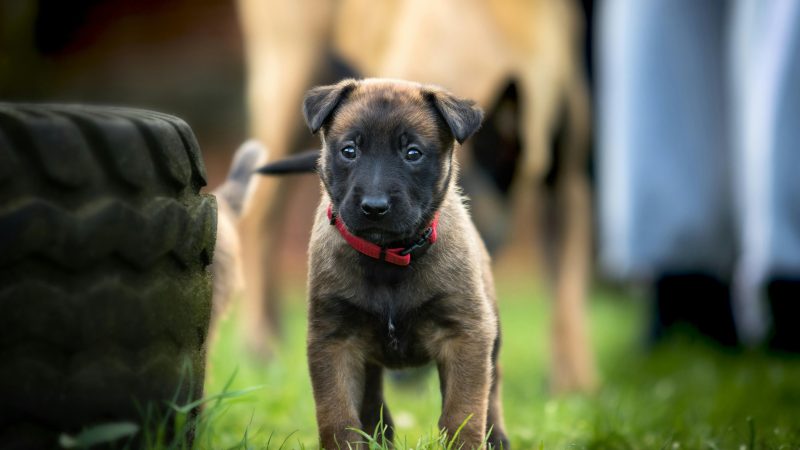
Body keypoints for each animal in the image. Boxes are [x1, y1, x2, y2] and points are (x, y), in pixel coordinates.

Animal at [276, 79, 506, 448]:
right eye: (349, 151)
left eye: (413, 153)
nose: (374, 206)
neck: (389, 259)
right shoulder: (334, 340)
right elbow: (337, 416)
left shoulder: (465, 334)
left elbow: (463, 412)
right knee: (372, 402)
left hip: (492, 337)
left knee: (493, 394)